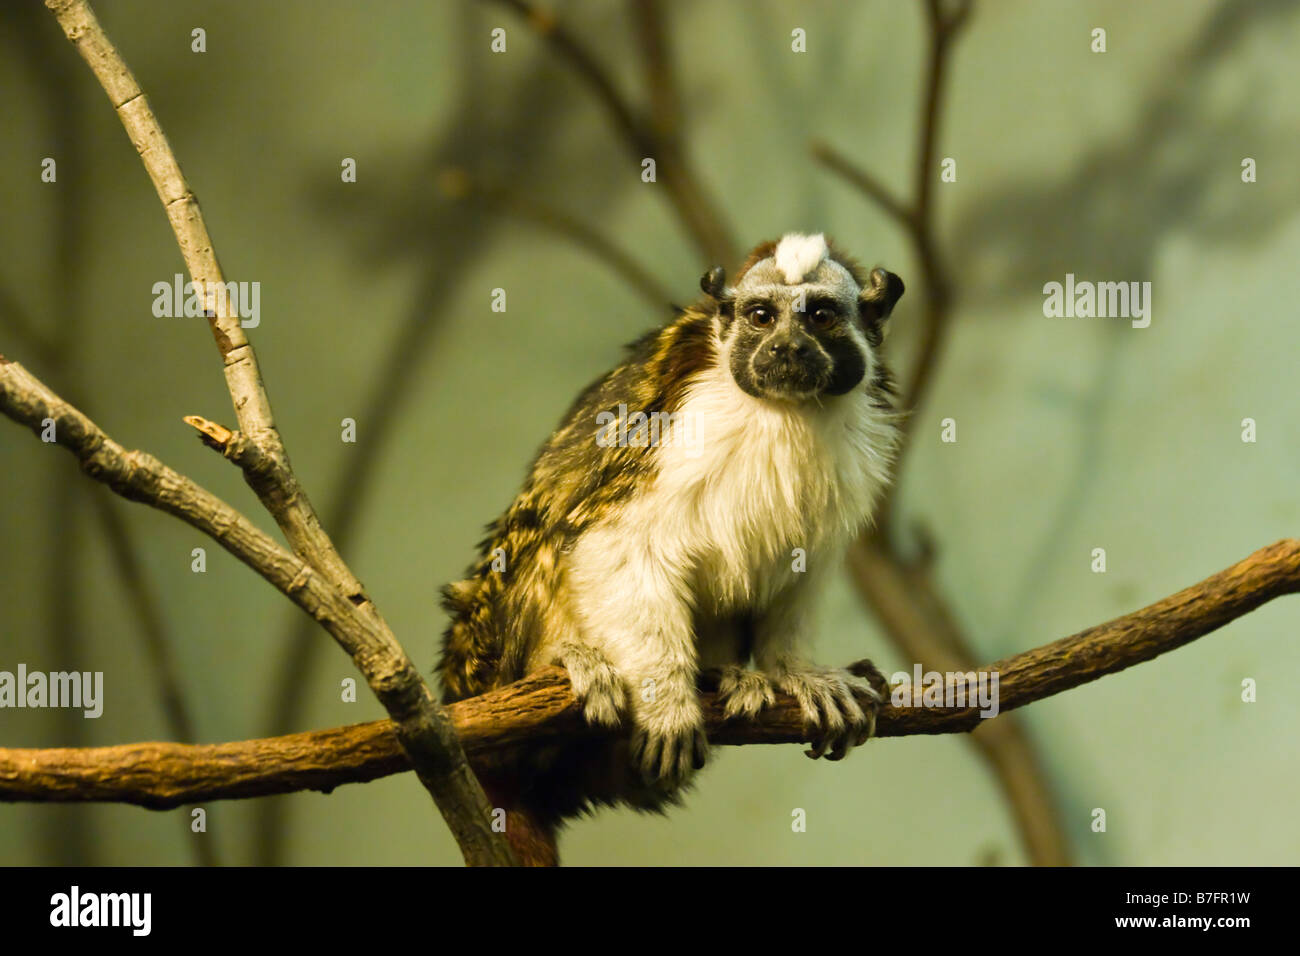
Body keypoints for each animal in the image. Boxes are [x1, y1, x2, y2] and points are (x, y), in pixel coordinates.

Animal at [436, 234, 904, 868]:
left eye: (821, 317)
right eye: (762, 317)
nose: (785, 347)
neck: (784, 413)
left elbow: (803, 564)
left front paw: (796, 673)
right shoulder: (678, 431)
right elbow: (616, 541)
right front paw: (668, 701)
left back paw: (728, 677)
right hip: (484, 653)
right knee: (544, 532)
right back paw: (567, 664)